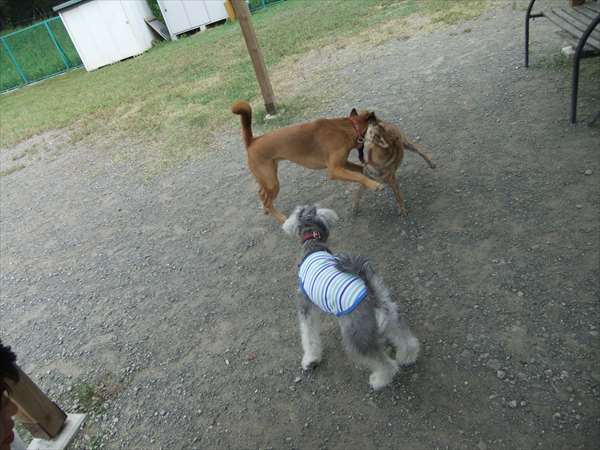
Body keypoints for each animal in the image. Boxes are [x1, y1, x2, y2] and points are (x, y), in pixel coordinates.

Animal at [232, 100, 385, 224]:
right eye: (379, 122)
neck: (350, 127)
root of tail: (252, 141)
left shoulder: (343, 164)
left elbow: (360, 171)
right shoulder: (335, 170)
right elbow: (359, 176)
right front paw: (375, 185)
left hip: (268, 178)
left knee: (261, 194)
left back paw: (266, 210)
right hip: (272, 182)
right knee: (267, 201)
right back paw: (280, 218)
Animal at [283, 205, 420, 390]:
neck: (313, 245)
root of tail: (372, 296)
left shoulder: (306, 309)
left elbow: (308, 336)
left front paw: (310, 360)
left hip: (357, 339)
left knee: (385, 363)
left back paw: (379, 380)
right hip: (391, 317)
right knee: (405, 339)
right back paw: (408, 357)